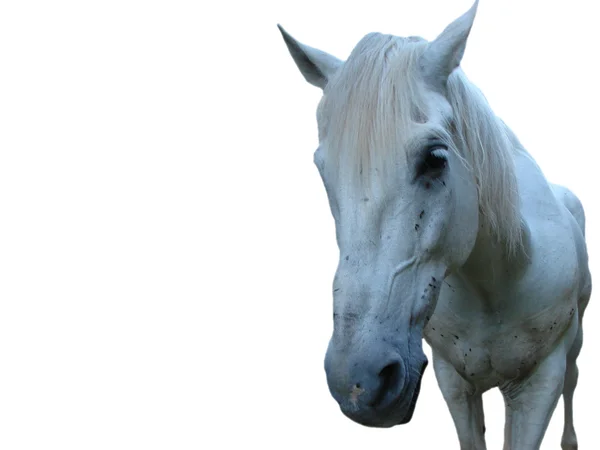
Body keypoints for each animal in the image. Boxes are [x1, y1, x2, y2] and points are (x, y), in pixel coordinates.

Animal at [278, 1, 592, 448]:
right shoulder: (455, 383)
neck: (499, 280)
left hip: (574, 346)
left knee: (574, 380)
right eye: (323, 168)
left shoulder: (540, 384)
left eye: (435, 158)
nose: (359, 382)